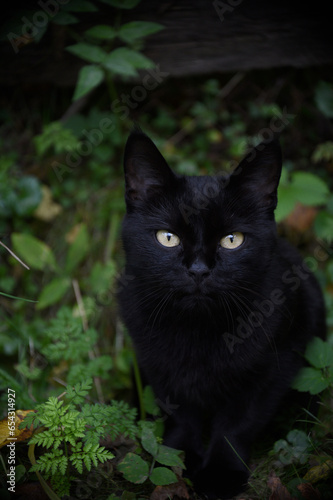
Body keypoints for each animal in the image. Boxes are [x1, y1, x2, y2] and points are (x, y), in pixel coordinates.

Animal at [116, 131, 324, 498]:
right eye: (168, 237)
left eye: (232, 239)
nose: (199, 270)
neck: (197, 331)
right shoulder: (157, 366)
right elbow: (181, 413)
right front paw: (179, 455)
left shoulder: (274, 366)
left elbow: (237, 423)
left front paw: (221, 473)